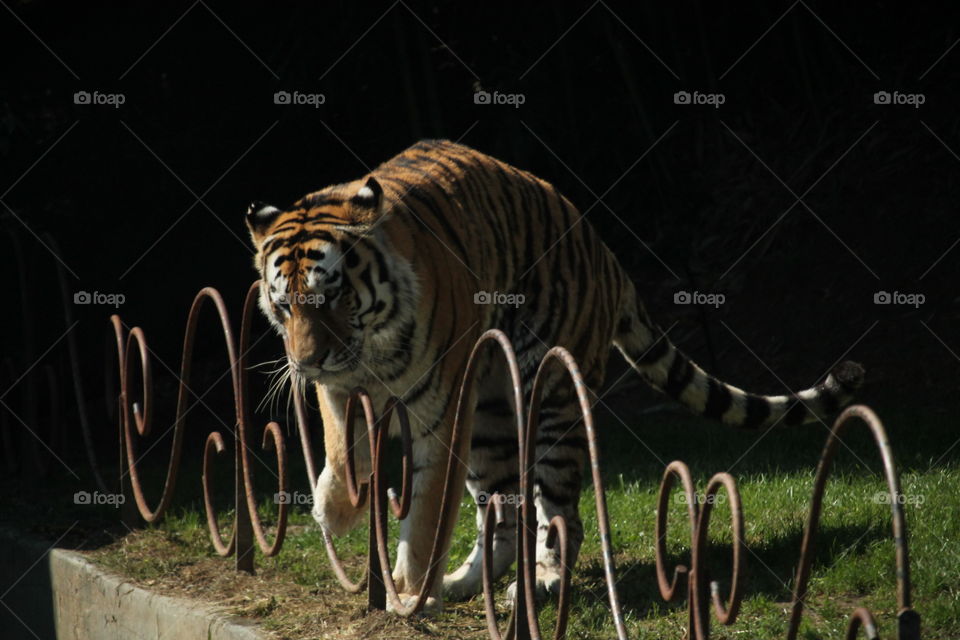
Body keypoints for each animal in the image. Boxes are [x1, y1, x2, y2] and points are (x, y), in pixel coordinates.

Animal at [245, 139, 864, 610]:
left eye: (332, 296)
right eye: (285, 305)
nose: (305, 360)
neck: (369, 348)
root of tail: (602, 248)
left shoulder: (440, 410)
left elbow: (424, 513)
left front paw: (411, 591)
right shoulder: (341, 389)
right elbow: (342, 449)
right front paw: (335, 512)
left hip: (552, 402)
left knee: (559, 514)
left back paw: (537, 582)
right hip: (491, 420)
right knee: (502, 516)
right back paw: (466, 582)